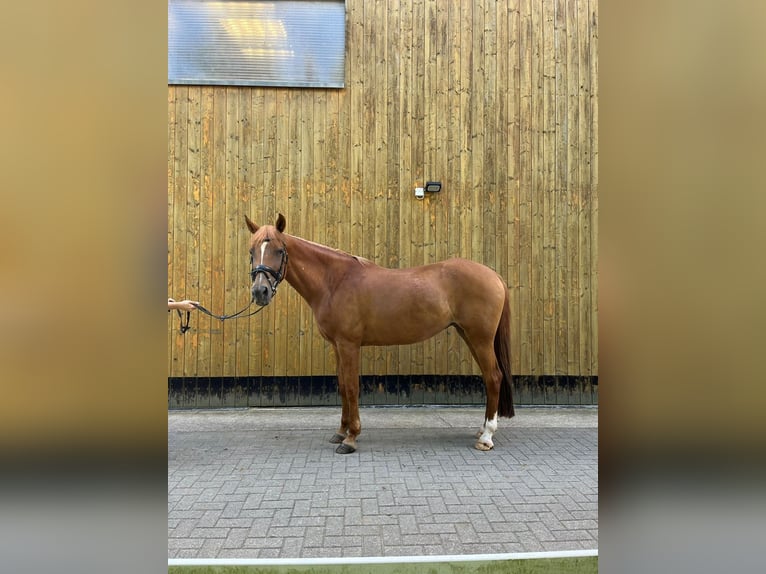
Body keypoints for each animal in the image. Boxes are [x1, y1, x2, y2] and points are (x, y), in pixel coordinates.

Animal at [243, 214, 512, 456]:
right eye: (251, 251)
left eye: (279, 250)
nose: (260, 291)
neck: (335, 281)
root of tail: (494, 275)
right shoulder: (337, 346)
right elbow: (342, 386)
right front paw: (340, 432)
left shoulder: (349, 345)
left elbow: (352, 387)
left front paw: (351, 439)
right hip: (468, 335)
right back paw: (482, 430)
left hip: (480, 339)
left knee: (493, 377)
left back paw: (487, 437)